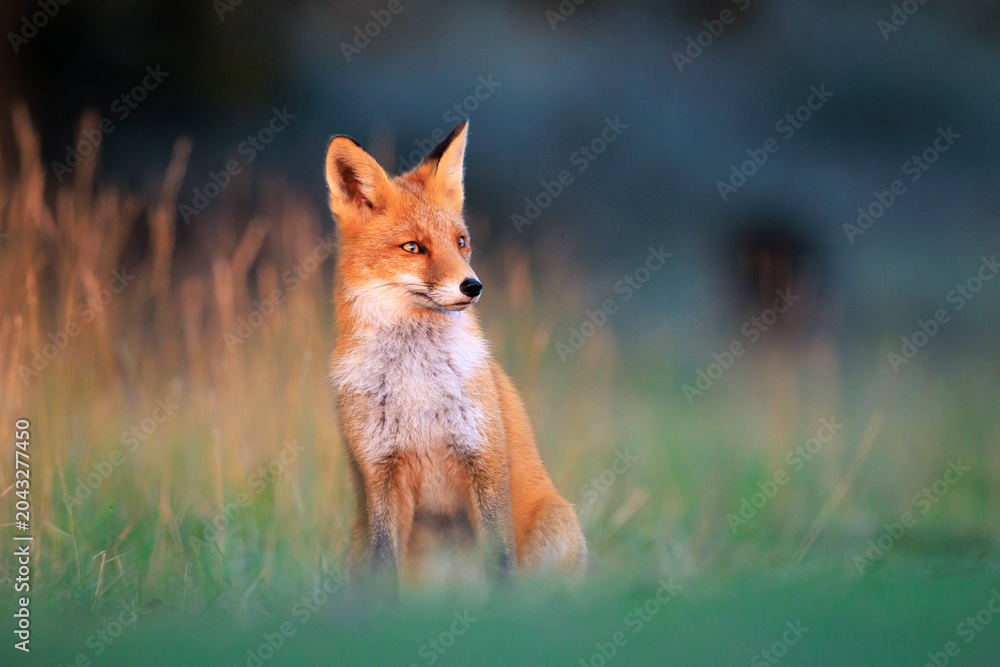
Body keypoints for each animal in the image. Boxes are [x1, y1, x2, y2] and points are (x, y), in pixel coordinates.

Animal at [324, 120, 586, 585]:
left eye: (461, 242)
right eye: (413, 247)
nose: (473, 286)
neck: (416, 384)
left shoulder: (484, 461)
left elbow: (500, 564)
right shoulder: (380, 475)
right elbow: (386, 570)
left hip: (556, 521)